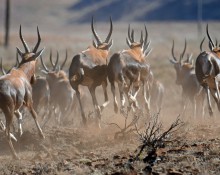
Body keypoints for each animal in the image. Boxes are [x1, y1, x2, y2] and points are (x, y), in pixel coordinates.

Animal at [0, 25, 44, 159]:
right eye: (36, 60)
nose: (34, 79)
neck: (20, 73)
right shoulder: (29, 101)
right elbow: (34, 114)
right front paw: (42, 135)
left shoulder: (17, 106)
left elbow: (19, 115)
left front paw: (19, 133)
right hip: (7, 111)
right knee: (6, 131)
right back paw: (15, 156)